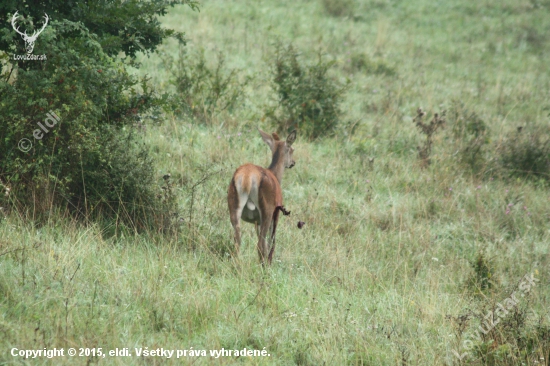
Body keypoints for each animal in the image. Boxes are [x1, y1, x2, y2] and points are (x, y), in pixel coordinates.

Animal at [229, 129, 298, 266]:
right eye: (292, 149)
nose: (293, 163)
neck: (276, 176)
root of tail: (247, 176)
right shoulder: (276, 212)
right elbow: (271, 241)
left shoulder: (256, 221)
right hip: (267, 208)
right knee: (260, 244)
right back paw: (263, 266)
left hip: (232, 204)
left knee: (237, 240)